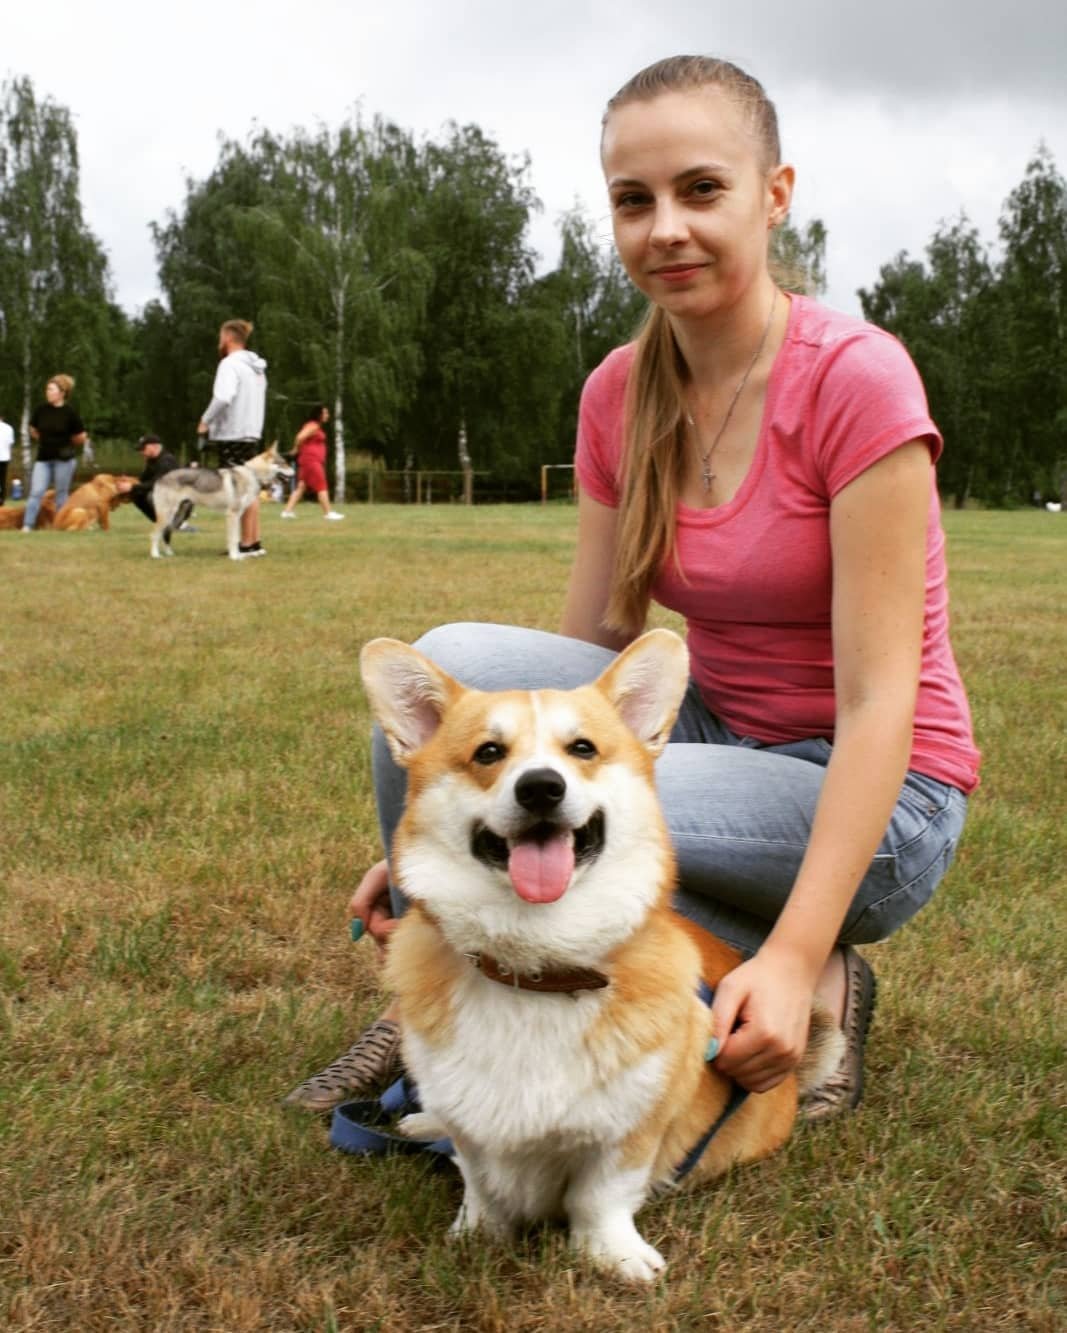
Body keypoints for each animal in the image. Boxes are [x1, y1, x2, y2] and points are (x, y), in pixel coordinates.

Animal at [149, 444, 293, 560]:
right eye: (283, 463)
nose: (294, 472)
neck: (252, 474)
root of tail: (161, 478)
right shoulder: (232, 514)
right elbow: (233, 539)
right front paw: (235, 558)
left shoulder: (238, 515)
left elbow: (236, 538)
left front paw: (239, 555)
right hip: (168, 515)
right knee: (155, 534)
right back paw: (155, 555)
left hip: (178, 515)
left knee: (165, 533)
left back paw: (169, 554)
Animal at [361, 629, 844, 1283]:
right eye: (489, 752)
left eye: (582, 748)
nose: (541, 786)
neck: (537, 968)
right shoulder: (474, 1127)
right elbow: (480, 1183)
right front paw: (476, 1236)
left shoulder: (632, 1128)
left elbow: (601, 1195)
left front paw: (613, 1255)